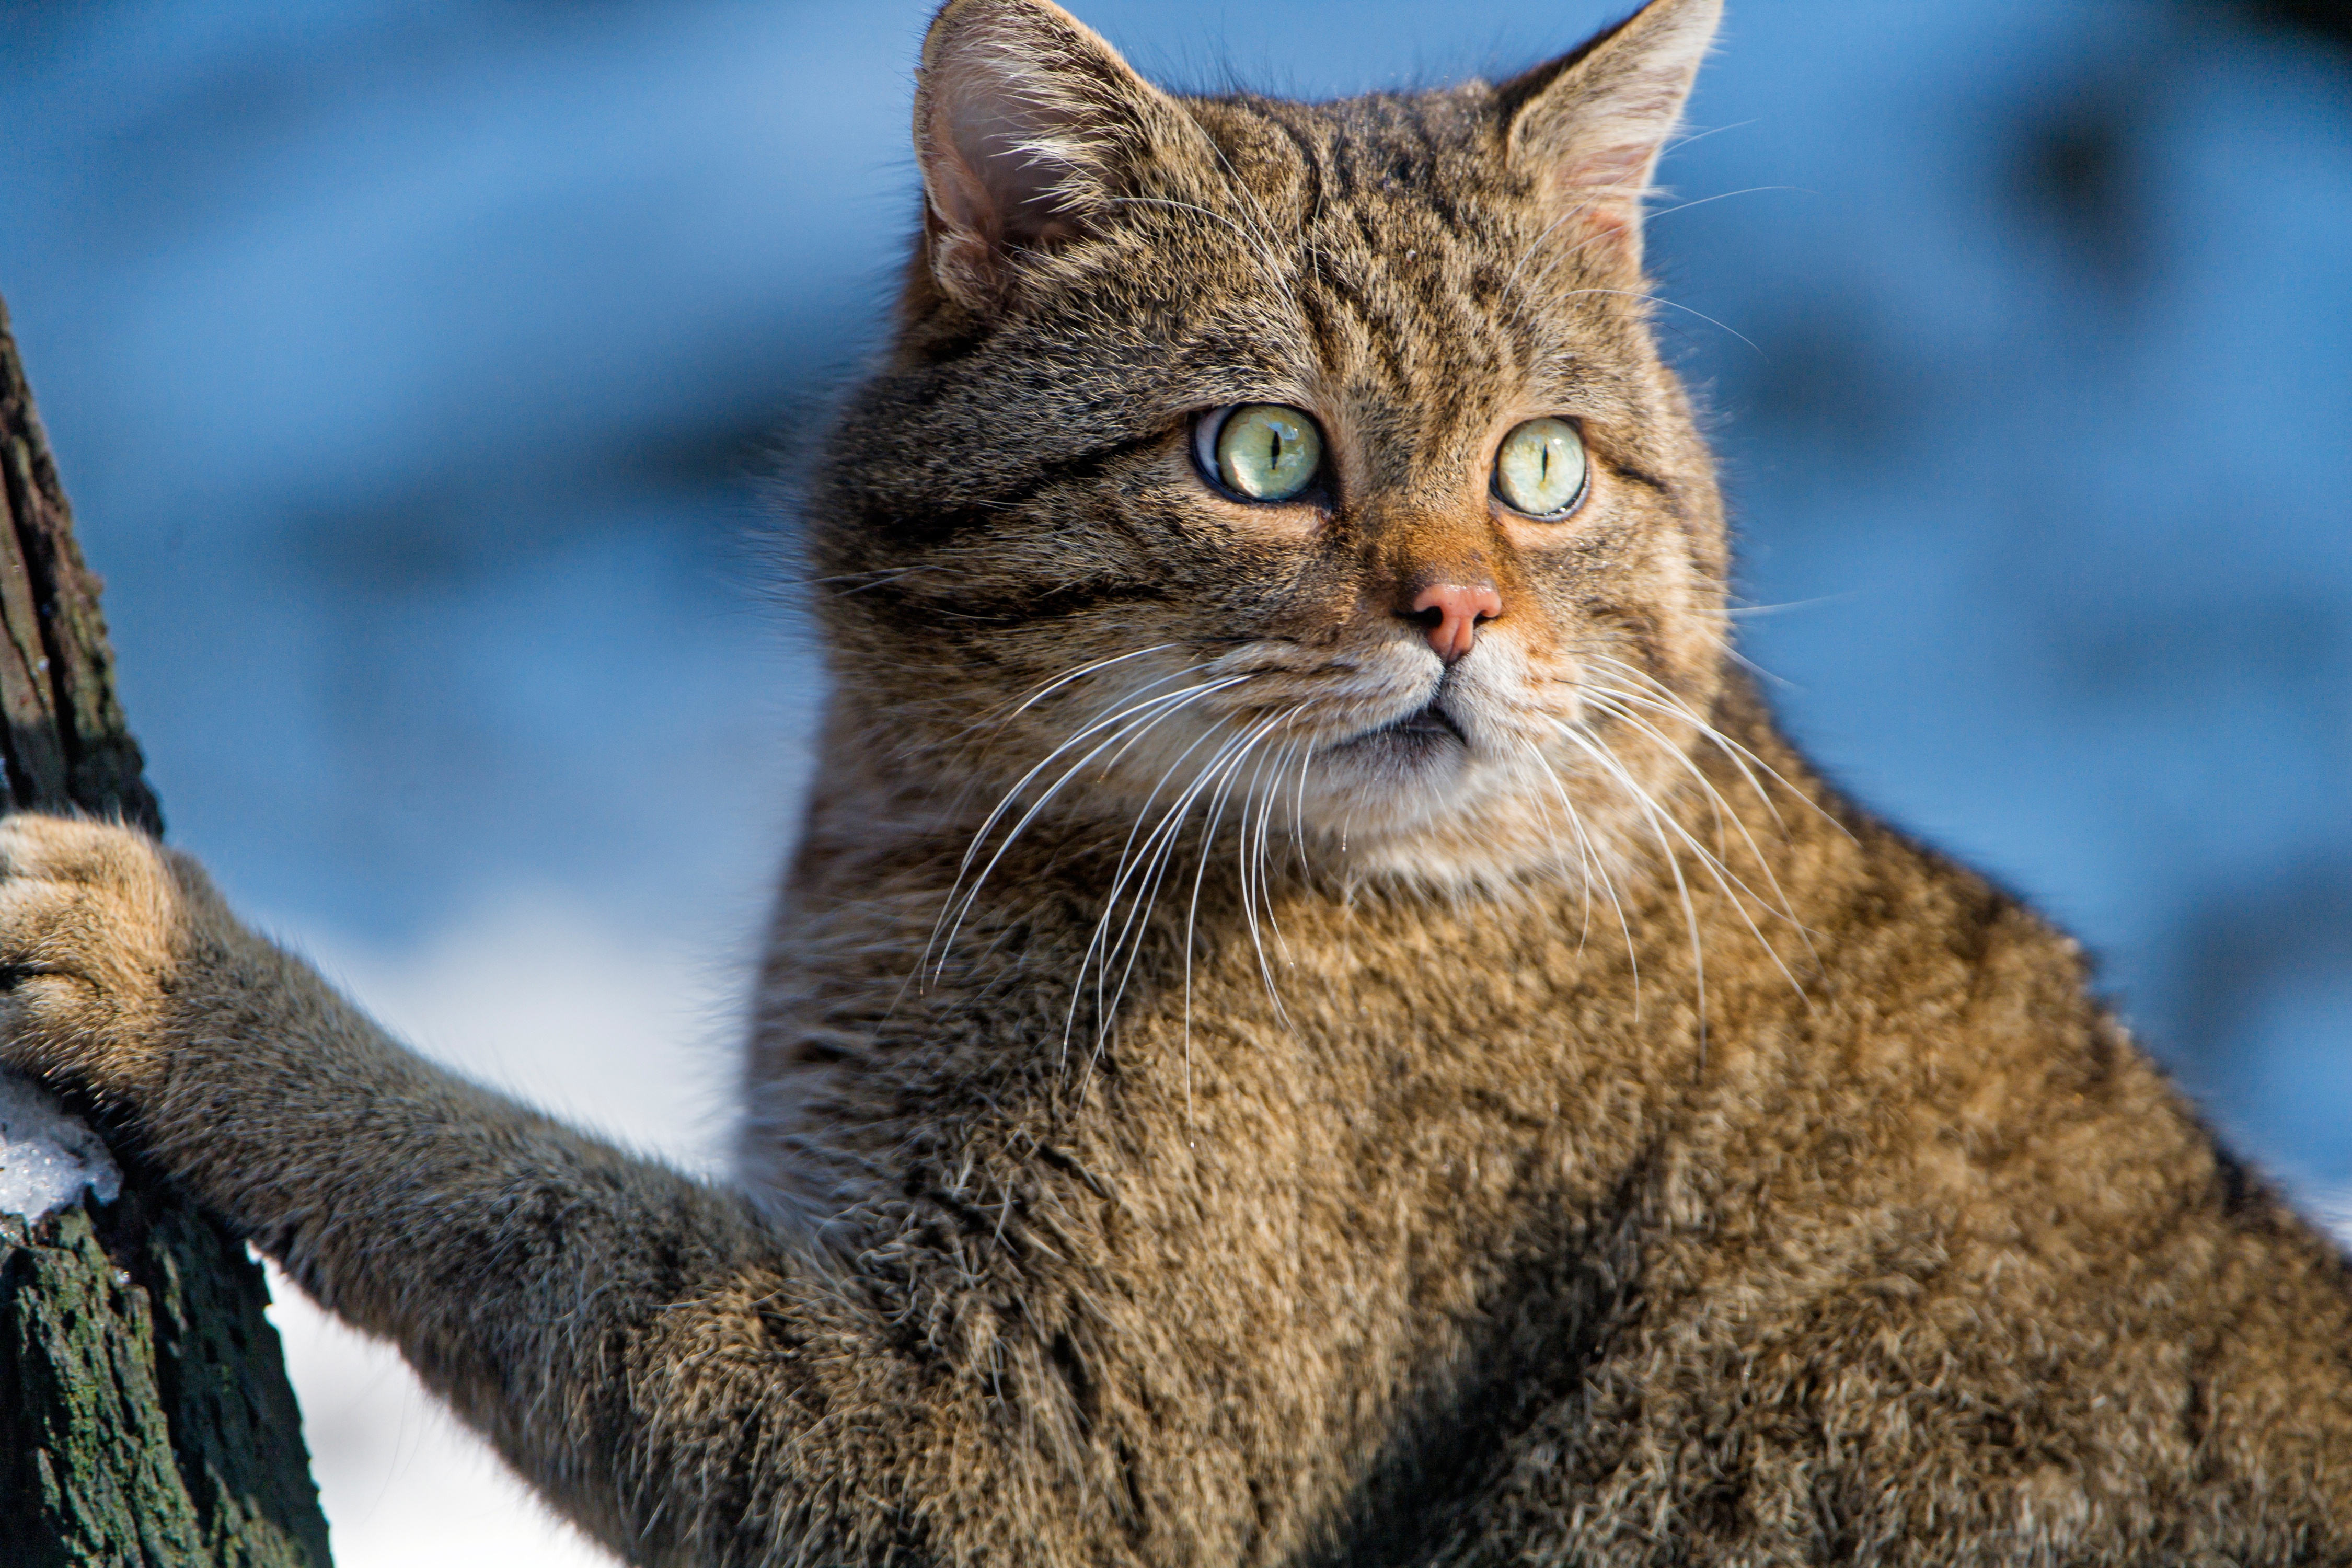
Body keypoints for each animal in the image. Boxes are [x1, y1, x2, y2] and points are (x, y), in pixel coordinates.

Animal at [4, 0, 2352, 1561]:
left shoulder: (1047, 1466)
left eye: (1541, 469)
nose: (1458, 609)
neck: (935, 833)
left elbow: (530, 1208)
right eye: (1266, 452)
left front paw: (176, 970)